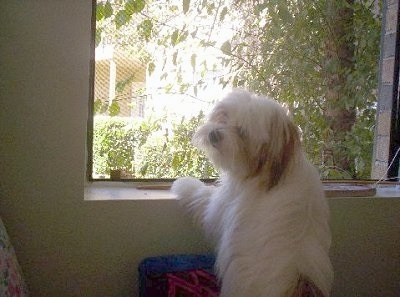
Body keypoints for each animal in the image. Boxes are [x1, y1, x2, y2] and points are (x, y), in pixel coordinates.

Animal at [172, 89, 334, 296]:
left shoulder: (227, 201)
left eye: (242, 132)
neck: (276, 172)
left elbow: (205, 199)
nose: (214, 134)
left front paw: (184, 183)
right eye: (223, 116)